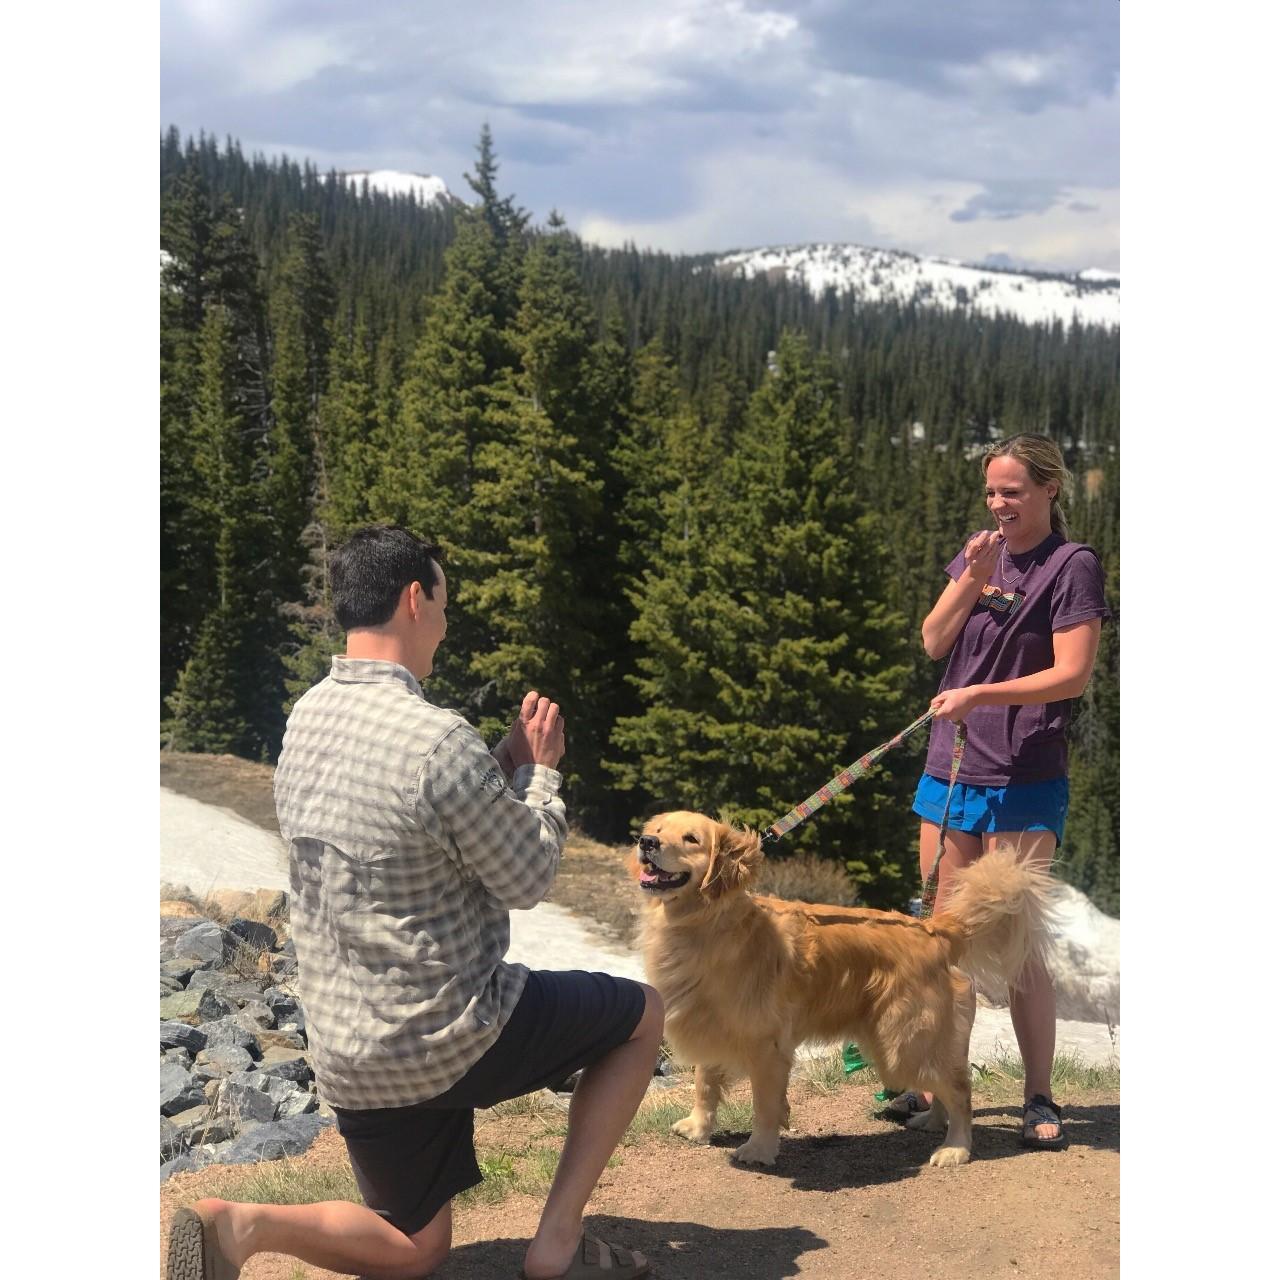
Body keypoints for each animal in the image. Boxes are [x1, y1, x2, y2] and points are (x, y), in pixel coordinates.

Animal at [629, 814, 1059, 1167]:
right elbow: (705, 1082)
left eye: (691, 839)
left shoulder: (766, 1044)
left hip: (902, 1044)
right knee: (946, 1083)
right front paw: (698, 1127)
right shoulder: (712, 1021)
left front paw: (759, 1149)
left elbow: (765, 1104)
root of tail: (934, 930)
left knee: (960, 1090)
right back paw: (934, 1122)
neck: (704, 924)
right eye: (658, 829)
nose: (645, 842)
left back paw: (956, 1148)